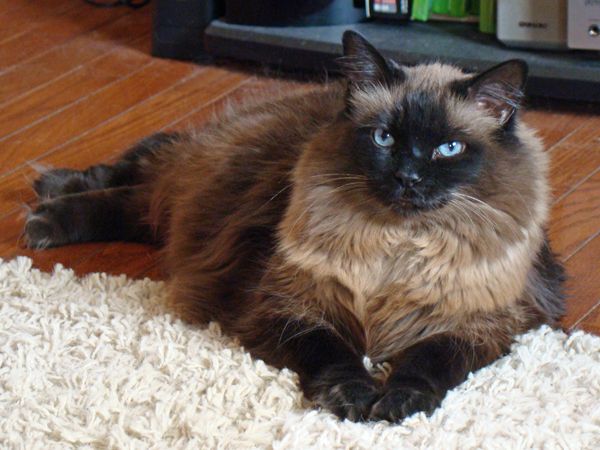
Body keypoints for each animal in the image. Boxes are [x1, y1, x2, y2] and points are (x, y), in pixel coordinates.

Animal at [24, 31, 568, 422]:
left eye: (448, 149)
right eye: (384, 138)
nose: (407, 178)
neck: (396, 248)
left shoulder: (479, 324)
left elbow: (426, 363)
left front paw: (397, 402)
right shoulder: (289, 306)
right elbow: (334, 353)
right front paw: (356, 398)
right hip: (193, 190)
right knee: (134, 179)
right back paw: (46, 206)